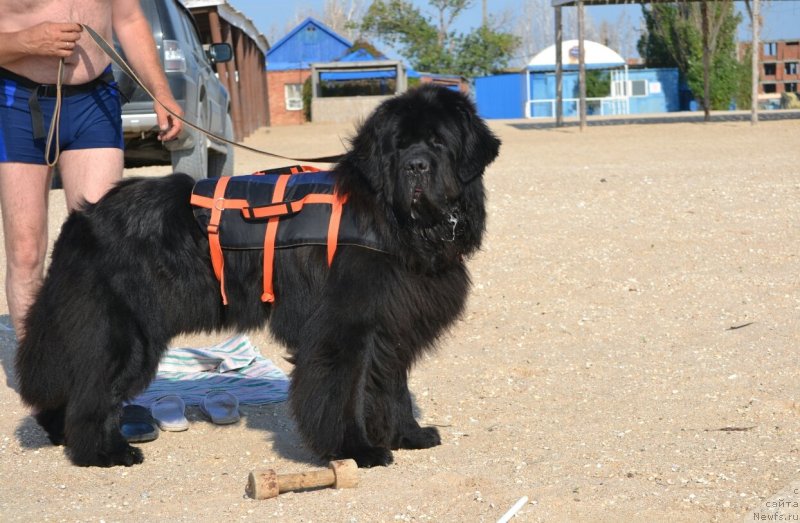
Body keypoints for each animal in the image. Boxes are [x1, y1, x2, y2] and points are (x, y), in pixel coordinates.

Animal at [15, 85, 496, 466]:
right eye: (398, 147)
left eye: (438, 143)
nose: (416, 166)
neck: (395, 222)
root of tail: (84, 216)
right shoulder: (344, 329)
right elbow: (343, 393)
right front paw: (355, 450)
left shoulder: (393, 322)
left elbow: (393, 388)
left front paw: (407, 435)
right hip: (124, 335)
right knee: (93, 389)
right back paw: (102, 452)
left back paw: (62, 433)